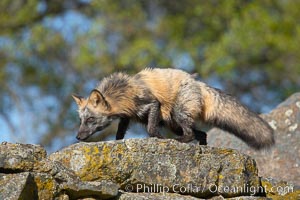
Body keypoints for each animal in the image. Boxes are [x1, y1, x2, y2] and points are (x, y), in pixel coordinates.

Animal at [72, 68, 274, 149]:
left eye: (90, 119)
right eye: (81, 121)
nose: (78, 137)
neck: (123, 92)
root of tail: (198, 83)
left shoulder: (152, 104)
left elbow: (151, 129)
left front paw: (159, 139)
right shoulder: (127, 116)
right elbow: (120, 132)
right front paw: (117, 142)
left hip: (178, 114)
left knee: (191, 134)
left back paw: (181, 142)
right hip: (174, 123)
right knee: (201, 134)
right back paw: (203, 147)